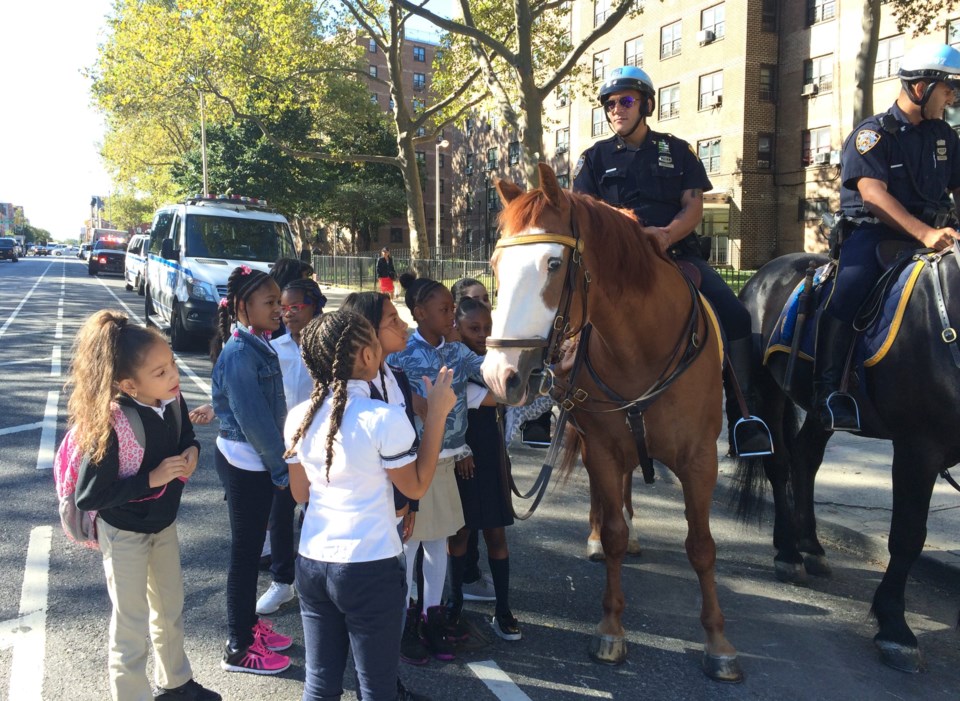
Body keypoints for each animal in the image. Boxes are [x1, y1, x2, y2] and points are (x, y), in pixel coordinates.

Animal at [480, 163, 744, 680]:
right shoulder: (602, 446)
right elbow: (617, 534)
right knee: (607, 499)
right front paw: (611, 629)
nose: (500, 375)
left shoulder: (700, 461)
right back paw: (597, 535)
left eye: (554, 265)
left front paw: (719, 643)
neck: (642, 345)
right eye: (497, 266)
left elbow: (702, 547)